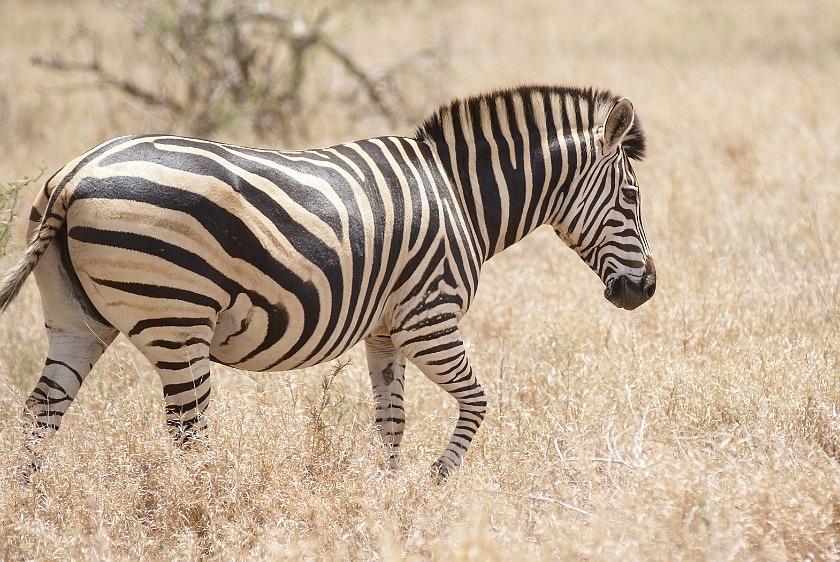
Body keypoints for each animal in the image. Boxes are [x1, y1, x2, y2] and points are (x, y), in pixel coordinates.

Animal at [0, 84, 656, 476]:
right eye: (630, 197)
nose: (645, 290)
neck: (461, 197)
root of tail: (76, 173)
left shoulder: (386, 331)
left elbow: (391, 421)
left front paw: (390, 495)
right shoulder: (429, 319)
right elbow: (477, 401)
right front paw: (436, 484)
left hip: (77, 319)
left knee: (40, 415)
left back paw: (37, 509)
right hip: (177, 320)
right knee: (188, 435)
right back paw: (203, 512)